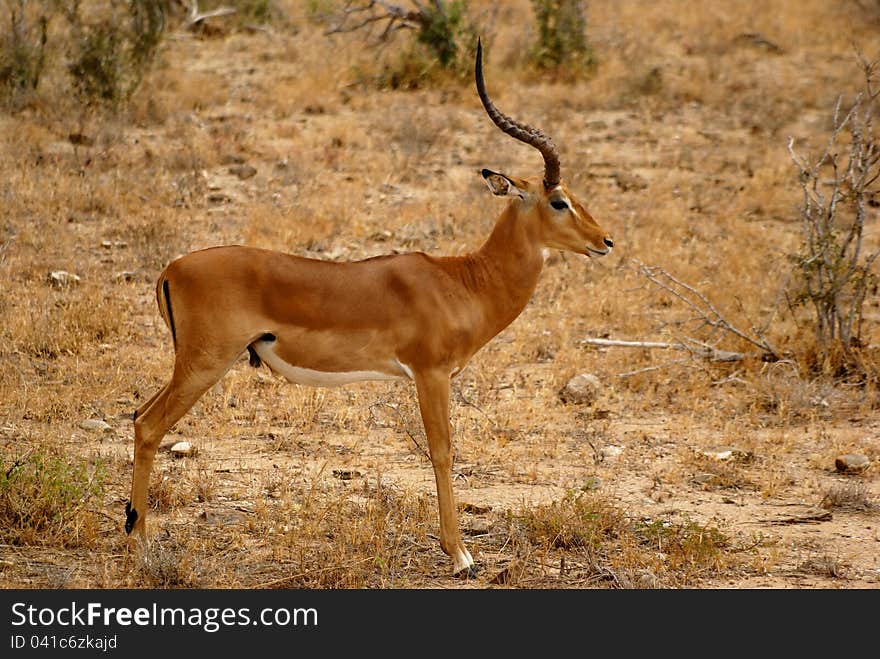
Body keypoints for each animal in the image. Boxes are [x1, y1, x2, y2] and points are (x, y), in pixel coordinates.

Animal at [127, 40, 612, 576]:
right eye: (558, 200)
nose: (604, 241)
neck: (462, 281)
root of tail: (171, 268)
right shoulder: (431, 374)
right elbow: (442, 451)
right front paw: (461, 554)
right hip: (205, 363)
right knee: (148, 425)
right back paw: (142, 546)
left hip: (192, 365)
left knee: (138, 415)